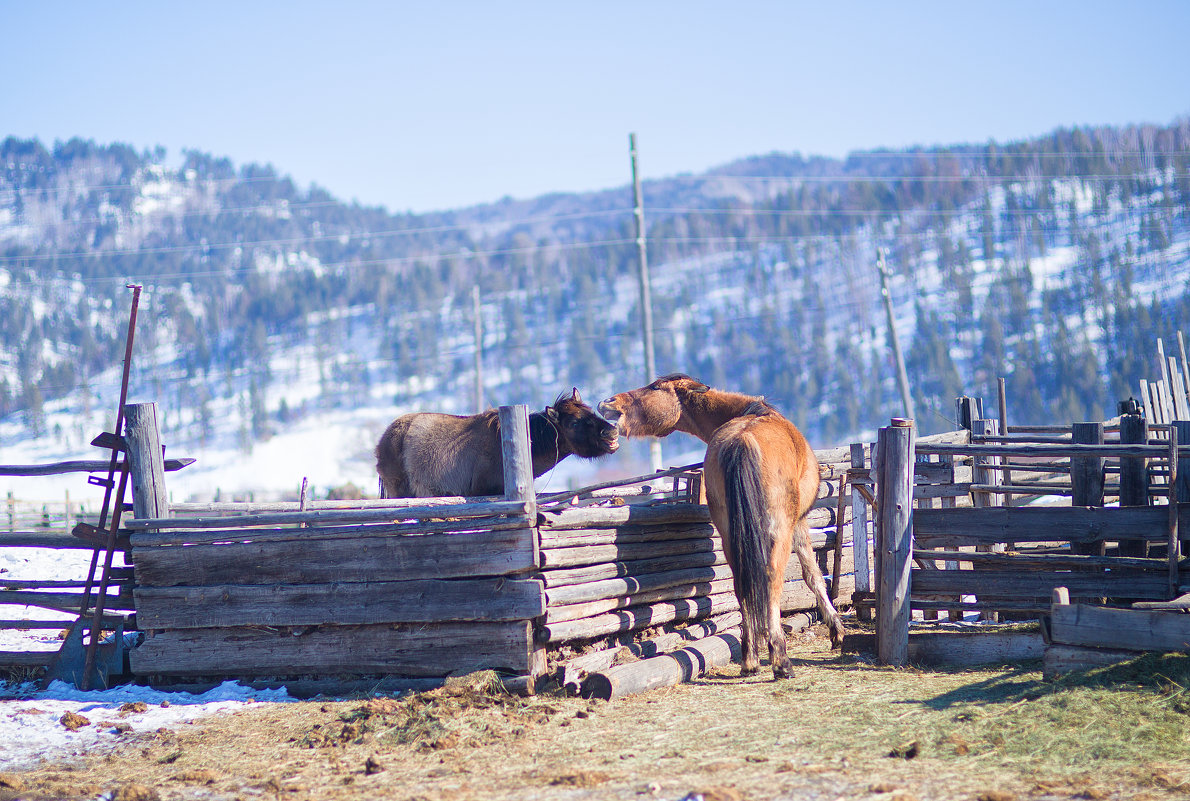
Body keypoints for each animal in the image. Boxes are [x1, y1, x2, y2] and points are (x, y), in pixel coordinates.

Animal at [599, 373, 842, 676]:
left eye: (655, 387)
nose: (608, 402)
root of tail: (743, 439)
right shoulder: (799, 522)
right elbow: (813, 574)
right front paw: (836, 629)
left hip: (730, 533)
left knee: (741, 582)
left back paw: (750, 658)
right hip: (779, 529)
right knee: (772, 577)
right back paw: (780, 658)